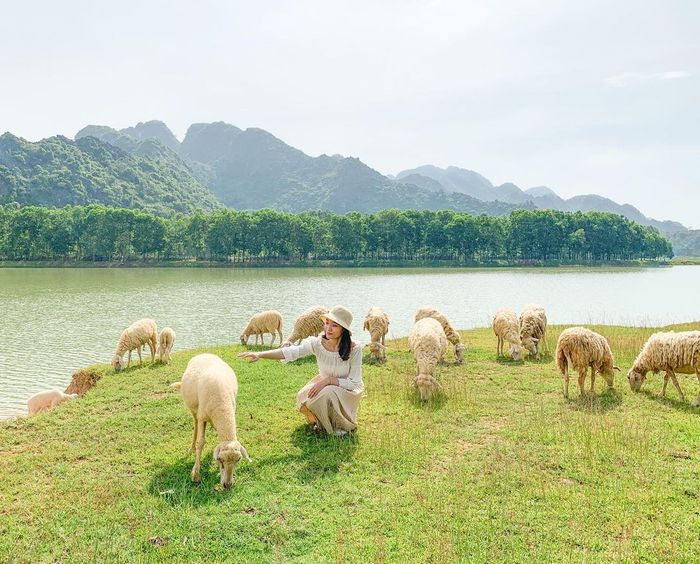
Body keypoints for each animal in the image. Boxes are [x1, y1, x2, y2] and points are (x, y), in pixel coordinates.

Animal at [179, 354, 250, 486]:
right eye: (220, 459)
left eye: (238, 459)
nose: (227, 485)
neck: (222, 405)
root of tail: (204, 353)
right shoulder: (202, 417)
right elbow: (200, 443)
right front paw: (195, 474)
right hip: (194, 410)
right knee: (195, 424)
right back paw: (191, 448)